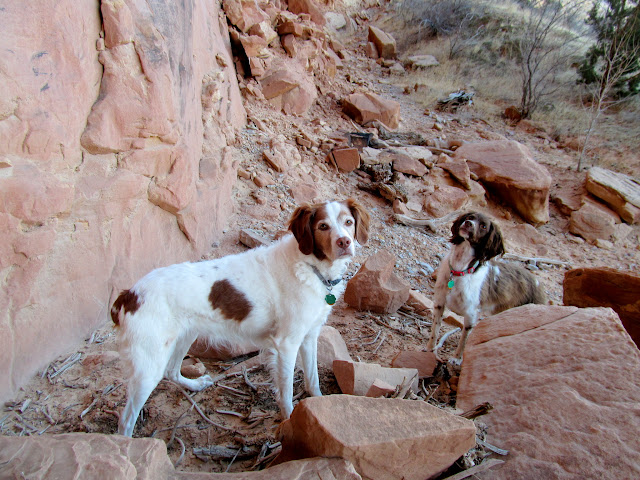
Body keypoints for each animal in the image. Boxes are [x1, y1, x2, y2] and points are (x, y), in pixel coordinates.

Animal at [110, 198, 370, 436]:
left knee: (171, 371)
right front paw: (289, 420)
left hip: (184, 336)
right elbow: (286, 390)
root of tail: (129, 294)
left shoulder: (309, 335)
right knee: (125, 421)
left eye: (348, 222)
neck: (309, 266)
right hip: (148, 365)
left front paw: (317, 403)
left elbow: (312, 379)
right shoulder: (286, 343)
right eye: (323, 226)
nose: (344, 242)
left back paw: (194, 384)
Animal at [430, 212, 544, 366]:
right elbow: (435, 331)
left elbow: (464, 339)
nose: (468, 223)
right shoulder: (439, 304)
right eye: (469, 217)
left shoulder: (471, 315)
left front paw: (457, 358)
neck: (460, 270)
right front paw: (429, 351)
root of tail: (537, 283)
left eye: (483, 226)